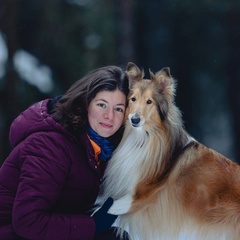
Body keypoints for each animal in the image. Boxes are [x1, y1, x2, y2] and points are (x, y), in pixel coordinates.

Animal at [98, 62, 240, 240]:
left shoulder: (136, 197)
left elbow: (101, 208)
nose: (134, 120)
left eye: (149, 101)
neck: (143, 139)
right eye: (133, 99)